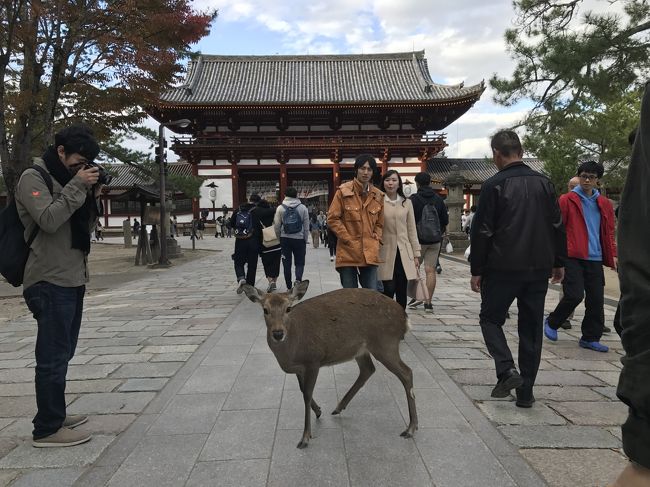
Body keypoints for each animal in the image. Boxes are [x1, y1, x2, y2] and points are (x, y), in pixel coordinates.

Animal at [240, 280, 418, 448]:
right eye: (265, 309)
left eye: (288, 308)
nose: (278, 333)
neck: (290, 355)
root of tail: (405, 319)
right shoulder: (299, 369)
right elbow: (302, 390)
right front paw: (318, 411)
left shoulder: (313, 360)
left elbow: (307, 394)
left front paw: (305, 437)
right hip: (361, 349)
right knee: (368, 369)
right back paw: (338, 407)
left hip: (385, 343)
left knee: (407, 372)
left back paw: (410, 428)